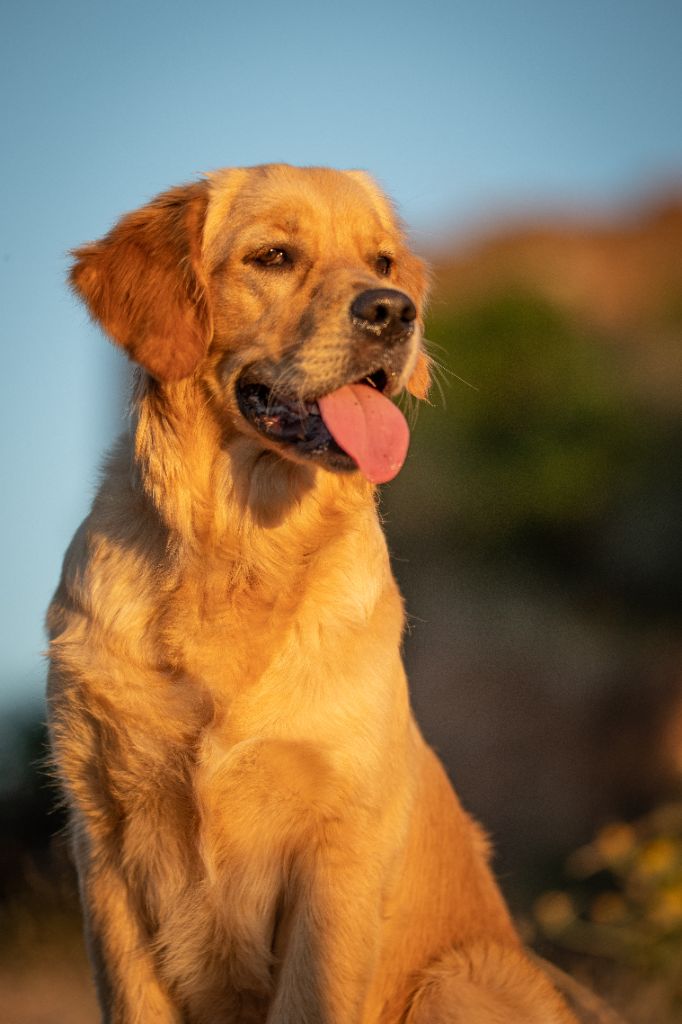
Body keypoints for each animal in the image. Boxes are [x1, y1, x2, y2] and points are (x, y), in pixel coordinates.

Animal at [47, 165, 577, 1024]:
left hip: (454, 979)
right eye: (273, 256)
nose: (394, 313)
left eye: (383, 262)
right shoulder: (104, 841)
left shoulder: (337, 849)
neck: (237, 552)